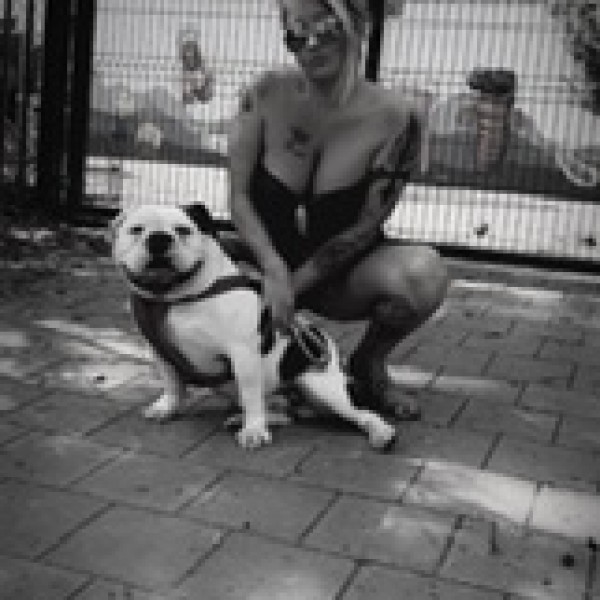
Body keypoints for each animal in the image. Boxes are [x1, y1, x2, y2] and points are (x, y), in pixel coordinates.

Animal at [112, 203, 396, 450]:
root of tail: (322, 339)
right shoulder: (160, 351)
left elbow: (250, 394)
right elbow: (171, 382)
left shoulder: (243, 354)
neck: (176, 297)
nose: (159, 238)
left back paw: (381, 432)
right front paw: (166, 407)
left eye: (183, 230)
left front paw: (254, 431)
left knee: (362, 413)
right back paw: (247, 418)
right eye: (136, 229)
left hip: (320, 386)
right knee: (280, 412)